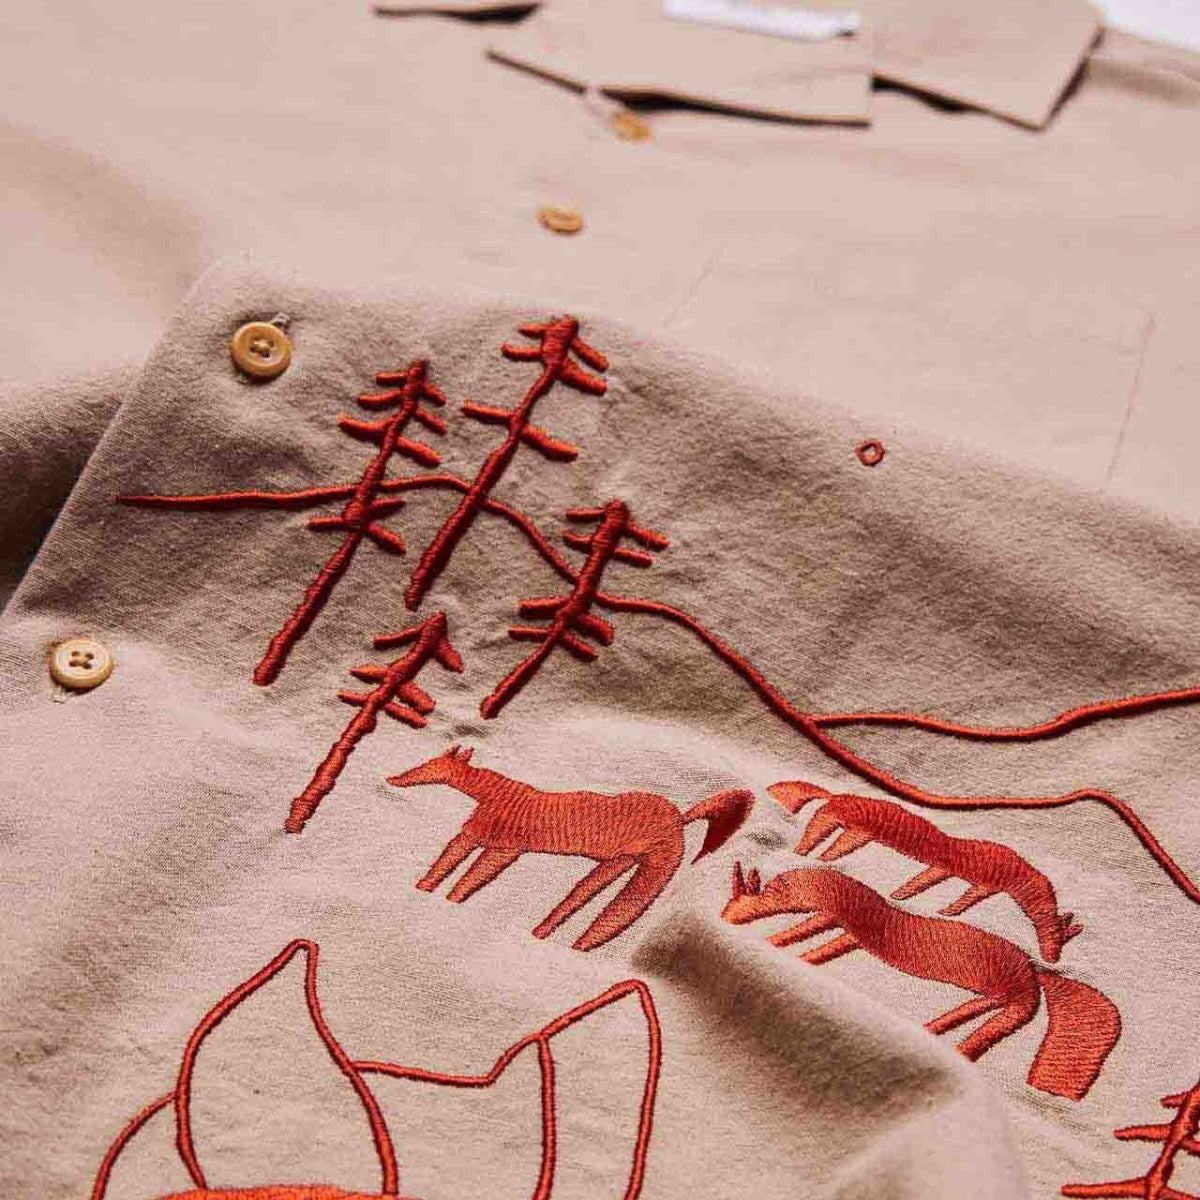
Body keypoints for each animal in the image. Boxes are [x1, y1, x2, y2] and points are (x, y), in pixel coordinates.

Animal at [389, 745, 755, 951]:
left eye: (428, 766)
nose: (395, 778)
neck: (497, 795)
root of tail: (680, 817)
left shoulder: (504, 846)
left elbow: (470, 877)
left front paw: (445, 900)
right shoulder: (482, 837)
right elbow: (452, 862)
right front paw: (426, 890)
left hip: (655, 864)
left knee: (621, 903)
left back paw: (572, 942)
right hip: (624, 859)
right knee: (588, 893)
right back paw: (551, 935)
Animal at [722, 862, 1121, 1101]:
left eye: (746, 901)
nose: (727, 917)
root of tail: (1036, 969)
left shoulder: (835, 920)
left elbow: (803, 935)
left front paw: (778, 944)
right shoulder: (849, 934)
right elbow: (818, 947)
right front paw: (793, 952)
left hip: (1011, 996)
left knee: (995, 1021)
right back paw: (935, 1031)